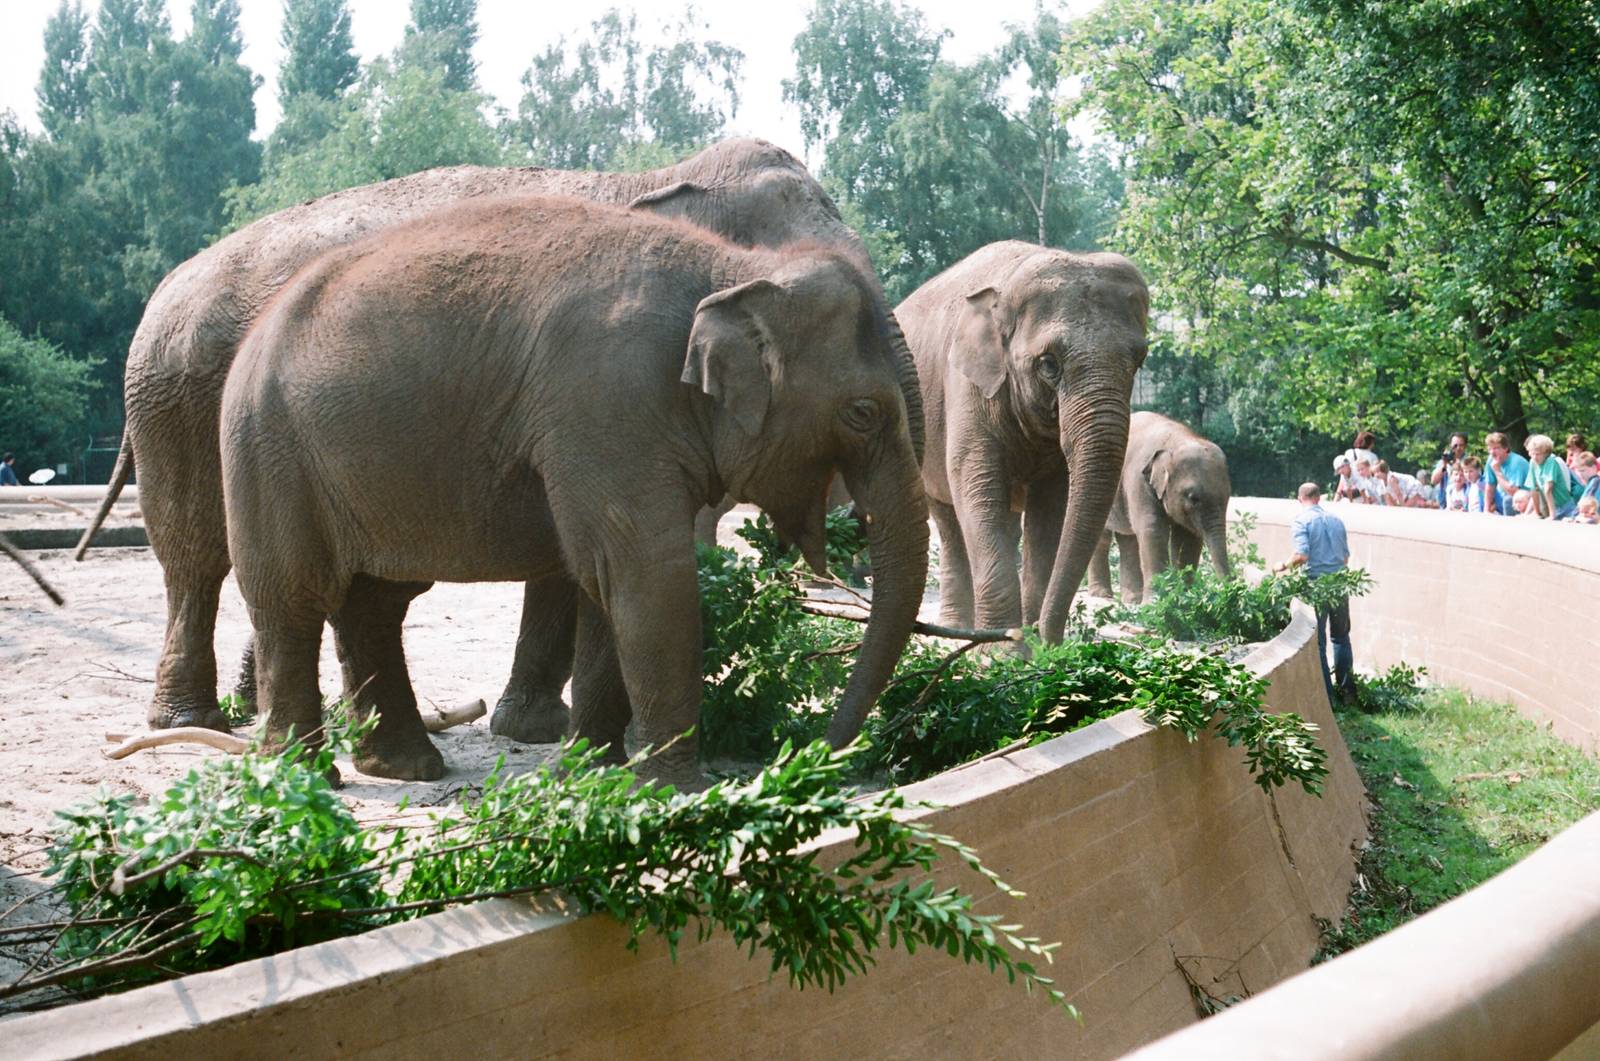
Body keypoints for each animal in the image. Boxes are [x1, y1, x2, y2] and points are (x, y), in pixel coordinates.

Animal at [81, 138, 922, 745]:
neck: (657, 174)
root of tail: (162, 289)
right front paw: (545, 731)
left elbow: (573, 561)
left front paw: (545, 731)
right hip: (181, 407)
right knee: (197, 556)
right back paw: (194, 721)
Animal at [899, 241, 1149, 642]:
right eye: (1048, 363)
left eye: (1140, 360)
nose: (1048, 639)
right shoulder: (967, 385)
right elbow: (978, 488)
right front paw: (1003, 648)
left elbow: (1050, 510)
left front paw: (1029, 645)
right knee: (948, 518)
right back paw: (956, 629)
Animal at [1086, 411, 1232, 604]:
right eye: (1193, 498)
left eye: (1228, 496)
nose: (1232, 590)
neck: (1178, 440)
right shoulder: (1138, 480)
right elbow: (1153, 530)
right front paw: (1156, 602)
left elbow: (1188, 538)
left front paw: (1185, 599)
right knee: (1103, 538)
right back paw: (1102, 595)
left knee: (1129, 538)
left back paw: (1132, 599)